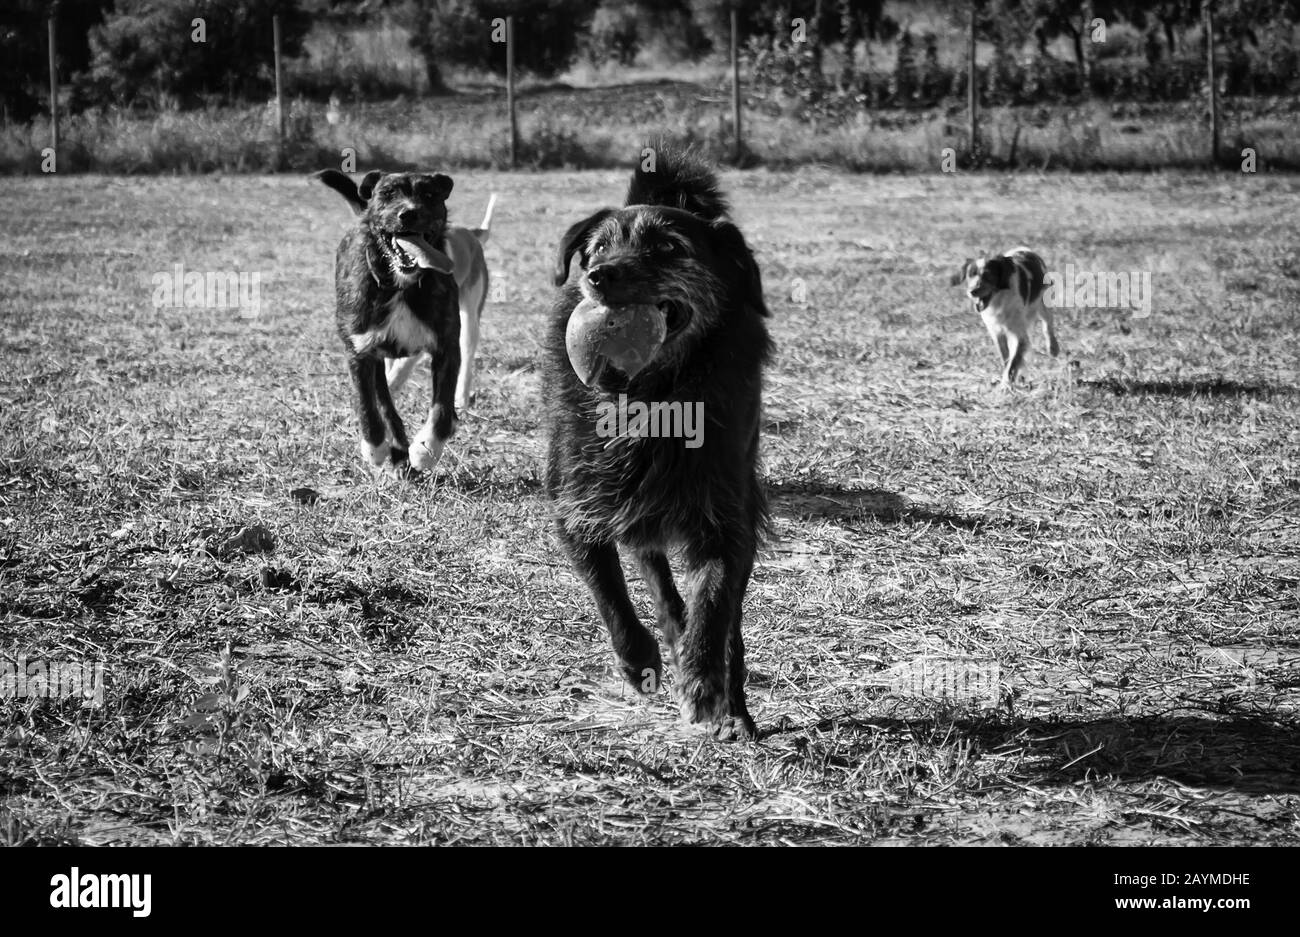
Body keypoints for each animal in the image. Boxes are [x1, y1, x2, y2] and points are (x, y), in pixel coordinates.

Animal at [312, 168, 460, 475]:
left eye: (430, 194)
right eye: (387, 194)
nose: (409, 213)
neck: (401, 286)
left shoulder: (448, 347)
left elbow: (441, 409)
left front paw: (427, 450)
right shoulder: (359, 352)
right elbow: (367, 405)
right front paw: (375, 448)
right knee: (385, 406)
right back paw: (393, 448)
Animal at [540, 142, 769, 738]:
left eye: (669, 247)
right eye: (597, 248)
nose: (599, 276)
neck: (649, 401)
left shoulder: (726, 520)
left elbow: (715, 603)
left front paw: (705, 685)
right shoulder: (576, 509)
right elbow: (609, 592)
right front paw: (638, 660)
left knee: (726, 617)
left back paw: (733, 705)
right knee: (655, 575)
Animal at [956, 244, 1055, 387]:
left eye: (988, 275)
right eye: (970, 275)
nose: (972, 291)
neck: (998, 299)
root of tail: (1025, 249)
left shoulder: (1018, 333)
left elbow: (1013, 363)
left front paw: (1005, 385)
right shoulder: (996, 331)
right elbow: (1006, 358)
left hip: (1043, 303)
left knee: (1048, 323)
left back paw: (1053, 348)